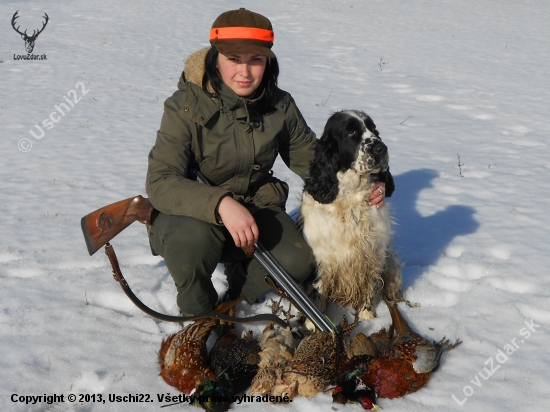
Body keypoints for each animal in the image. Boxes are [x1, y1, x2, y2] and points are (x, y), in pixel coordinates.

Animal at [302, 111, 406, 320]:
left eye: (373, 128)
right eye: (351, 132)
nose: (381, 148)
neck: (350, 199)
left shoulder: (375, 253)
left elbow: (371, 285)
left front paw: (367, 316)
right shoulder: (323, 258)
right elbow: (319, 292)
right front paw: (314, 324)